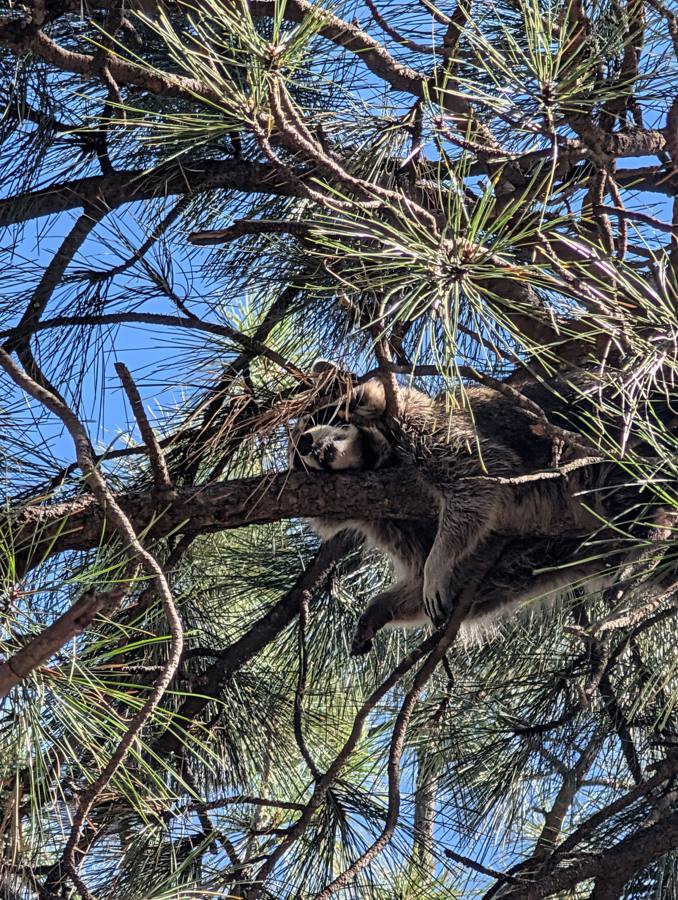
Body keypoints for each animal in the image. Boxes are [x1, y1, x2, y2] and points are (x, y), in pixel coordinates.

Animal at [289, 370, 615, 654]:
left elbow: (481, 475)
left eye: (322, 417)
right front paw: (384, 604)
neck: (375, 460)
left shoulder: (419, 423)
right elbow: (471, 575)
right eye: (298, 460)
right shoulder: (388, 520)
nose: (304, 442)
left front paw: (438, 562)